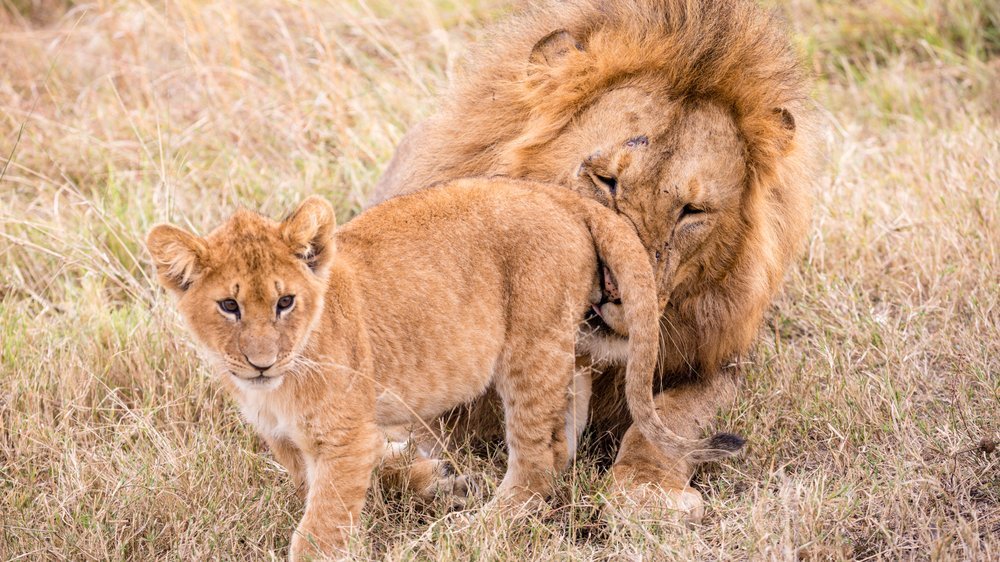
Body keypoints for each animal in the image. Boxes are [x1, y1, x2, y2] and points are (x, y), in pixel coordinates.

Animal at [372, 0, 816, 516]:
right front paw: (439, 477)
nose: (615, 294)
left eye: (691, 211)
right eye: (605, 180)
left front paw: (647, 490)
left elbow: (672, 418)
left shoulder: (720, 365)